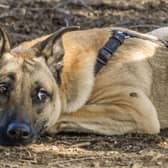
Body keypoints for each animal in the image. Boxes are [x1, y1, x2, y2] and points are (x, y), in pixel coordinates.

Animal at [0, 26, 168, 146]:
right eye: (2, 89)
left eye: (42, 94)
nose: (18, 132)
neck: (98, 64)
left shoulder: (136, 108)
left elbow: (63, 114)